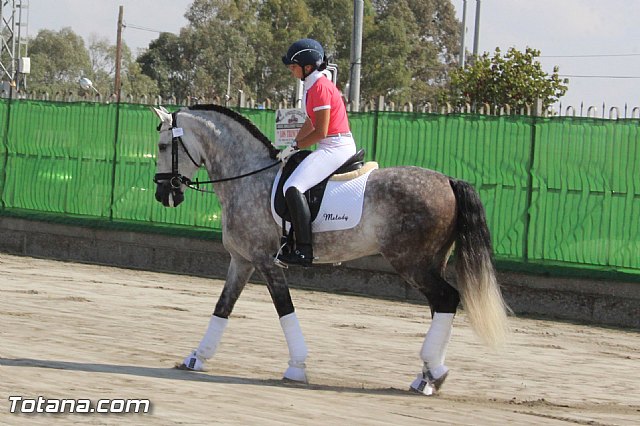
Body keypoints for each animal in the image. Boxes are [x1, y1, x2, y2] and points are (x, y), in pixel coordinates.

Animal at [151, 104, 510, 395]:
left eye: (163, 145)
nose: (163, 194)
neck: (247, 177)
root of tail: (448, 180)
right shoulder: (242, 261)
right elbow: (223, 307)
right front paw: (196, 357)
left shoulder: (267, 262)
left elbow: (285, 310)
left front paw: (297, 367)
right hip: (430, 262)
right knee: (441, 305)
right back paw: (426, 376)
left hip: (412, 263)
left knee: (447, 299)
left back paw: (433, 373)